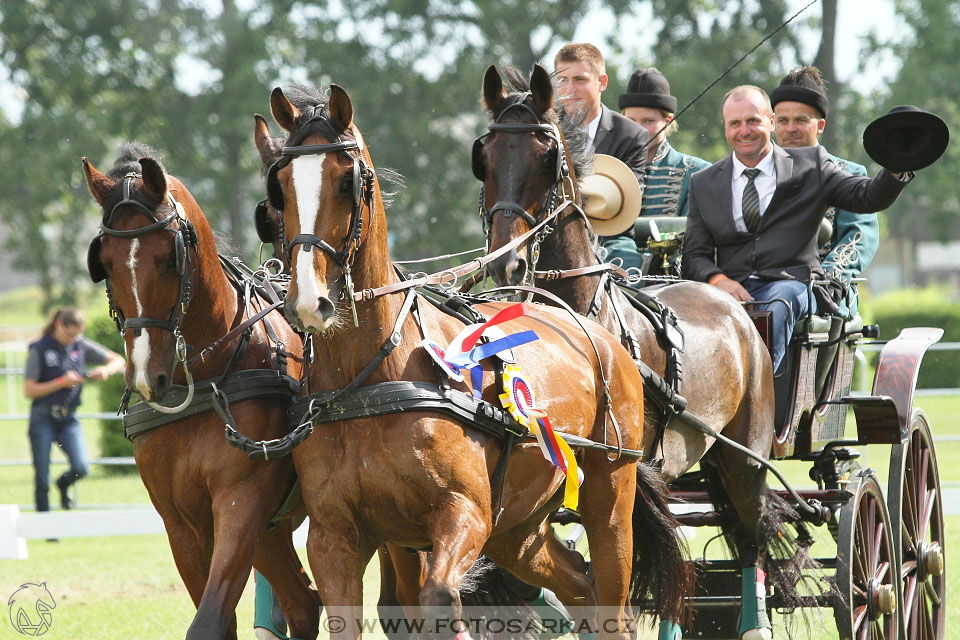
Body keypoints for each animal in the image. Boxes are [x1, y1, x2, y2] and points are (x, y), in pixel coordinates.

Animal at [84, 145, 320, 640]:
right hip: (273, 529)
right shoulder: (182, 524)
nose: (145, 377)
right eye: (106, 263)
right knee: (303, 601)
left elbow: (209, 620)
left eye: (168, 258)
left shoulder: (241, 500)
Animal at [258, 84, 688, 636]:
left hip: (610, 494)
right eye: (280, 186)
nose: (309, 301)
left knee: (612, 598)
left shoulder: (465, 513)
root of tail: (598, 334)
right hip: (519, 528)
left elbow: (441, 597)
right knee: (579, 582)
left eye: (345, 181)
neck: (372, 381)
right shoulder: (334, 536)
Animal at [472, 66, 796, 640]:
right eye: (484, 158)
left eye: (546, 158)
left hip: (744, 457)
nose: (506, 263)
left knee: (750, 534)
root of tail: (733, 304)